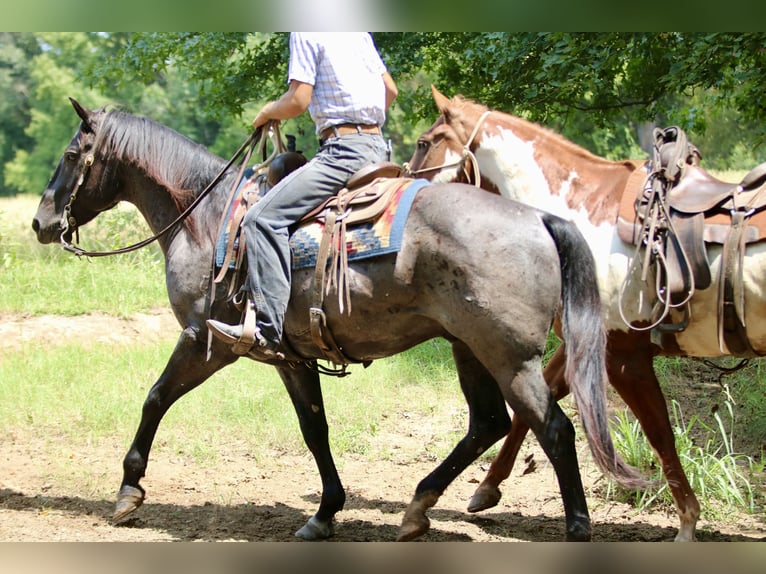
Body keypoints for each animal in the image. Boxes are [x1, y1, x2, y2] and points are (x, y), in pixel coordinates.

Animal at [32, 98, 645, 542]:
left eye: (72, 154)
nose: (41, 222)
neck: (208, 219)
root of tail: (538, 219)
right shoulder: (289, 355)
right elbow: (315, 429)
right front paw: (325, 513)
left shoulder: (207, 340)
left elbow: (156, 398)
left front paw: (128, 490)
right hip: (468, 347)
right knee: (488, 425)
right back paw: (417, 508)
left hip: (509, 357)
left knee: (555, 430)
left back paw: (575, 529)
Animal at [405, 85, 766, 542]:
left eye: (424, 142)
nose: (403, 197)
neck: (589, 215)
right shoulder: (582, 342)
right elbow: (538, 403)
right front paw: (487, 488)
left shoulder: (623, 358)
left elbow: (660, 434)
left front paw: (687, 521)